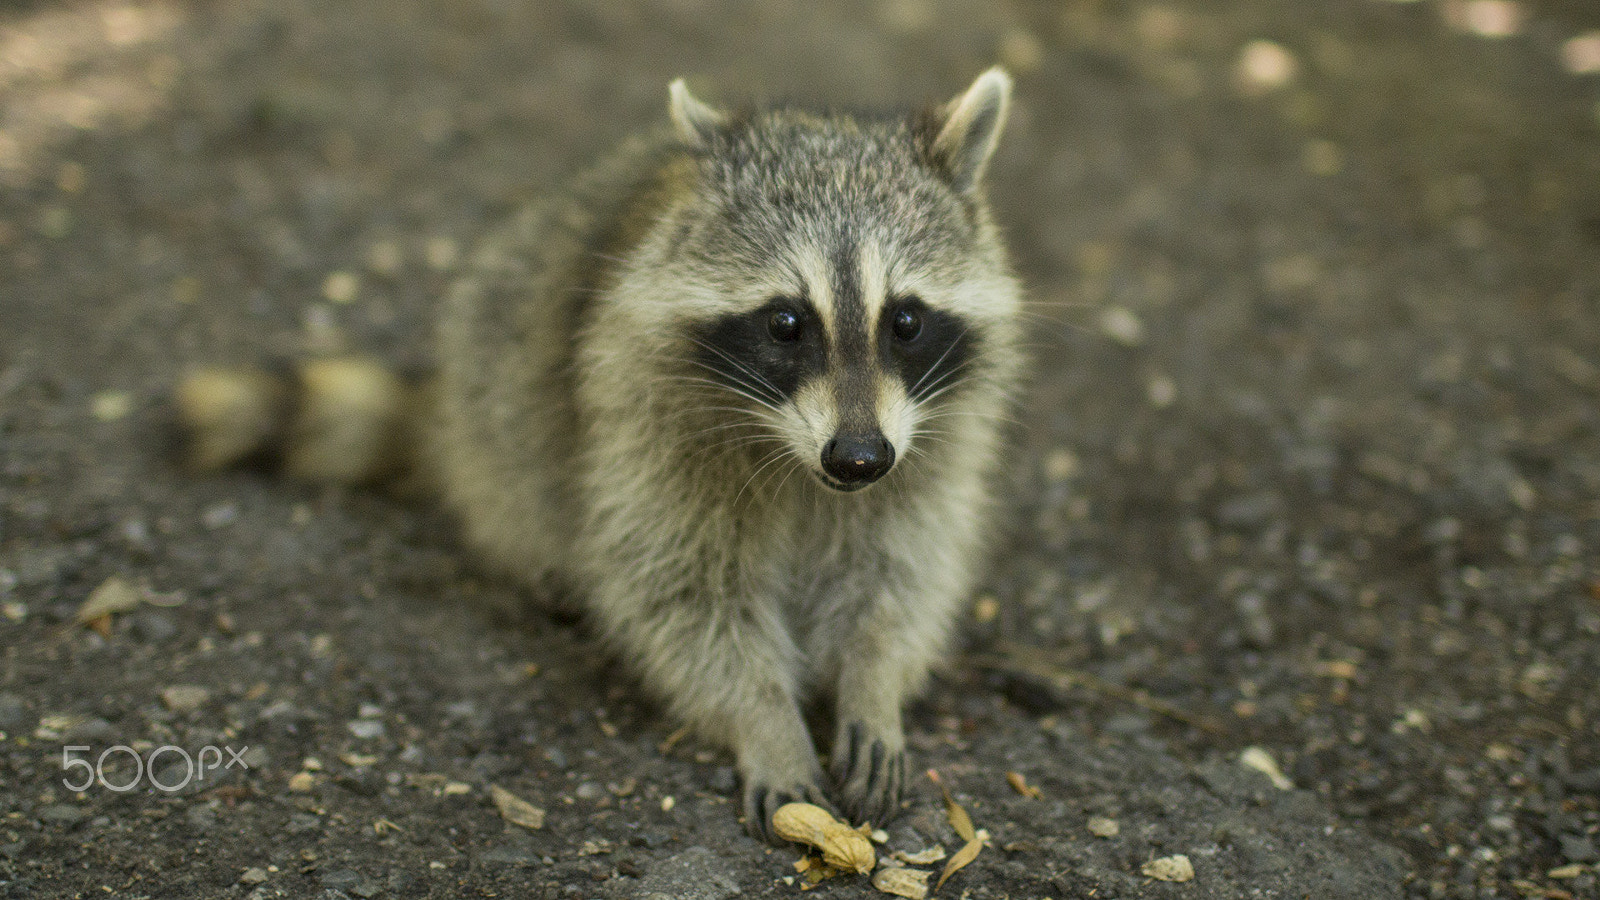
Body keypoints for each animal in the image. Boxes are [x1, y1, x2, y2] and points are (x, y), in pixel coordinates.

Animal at [178, 68, 1024, 832]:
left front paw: (873, 684)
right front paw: (766, 720)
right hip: (495, 369)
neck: (800, 459)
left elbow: (900, 572)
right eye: (786, 323)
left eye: (905, 321)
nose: (857, 459)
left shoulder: (927, 446)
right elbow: (680, 594)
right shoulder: (646, 429)